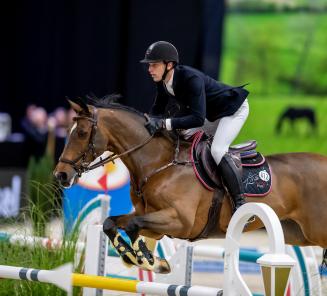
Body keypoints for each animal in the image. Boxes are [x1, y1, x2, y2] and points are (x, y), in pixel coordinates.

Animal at [53, 96, 327, 272]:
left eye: (81, 133)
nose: (61, 175)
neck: (160, 163)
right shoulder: (149, 214)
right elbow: (112, 223)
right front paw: (136, 257)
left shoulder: (180, 221)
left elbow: (133, 226)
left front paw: (147, 259)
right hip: (297, 233)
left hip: (317, 231)